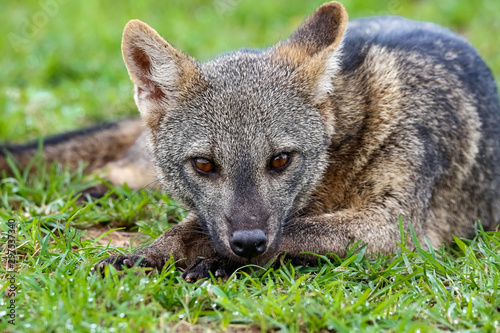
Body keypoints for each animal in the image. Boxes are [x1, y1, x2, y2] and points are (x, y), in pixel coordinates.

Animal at [1, 1, 498, 280]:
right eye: (204, 165)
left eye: (280, 160)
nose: (248, 243)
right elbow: (187, 227)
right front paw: (147, 255)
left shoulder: (395, 227)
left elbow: (296, 231)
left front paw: (221, 262)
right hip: (136, 170)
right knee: (108, 171)